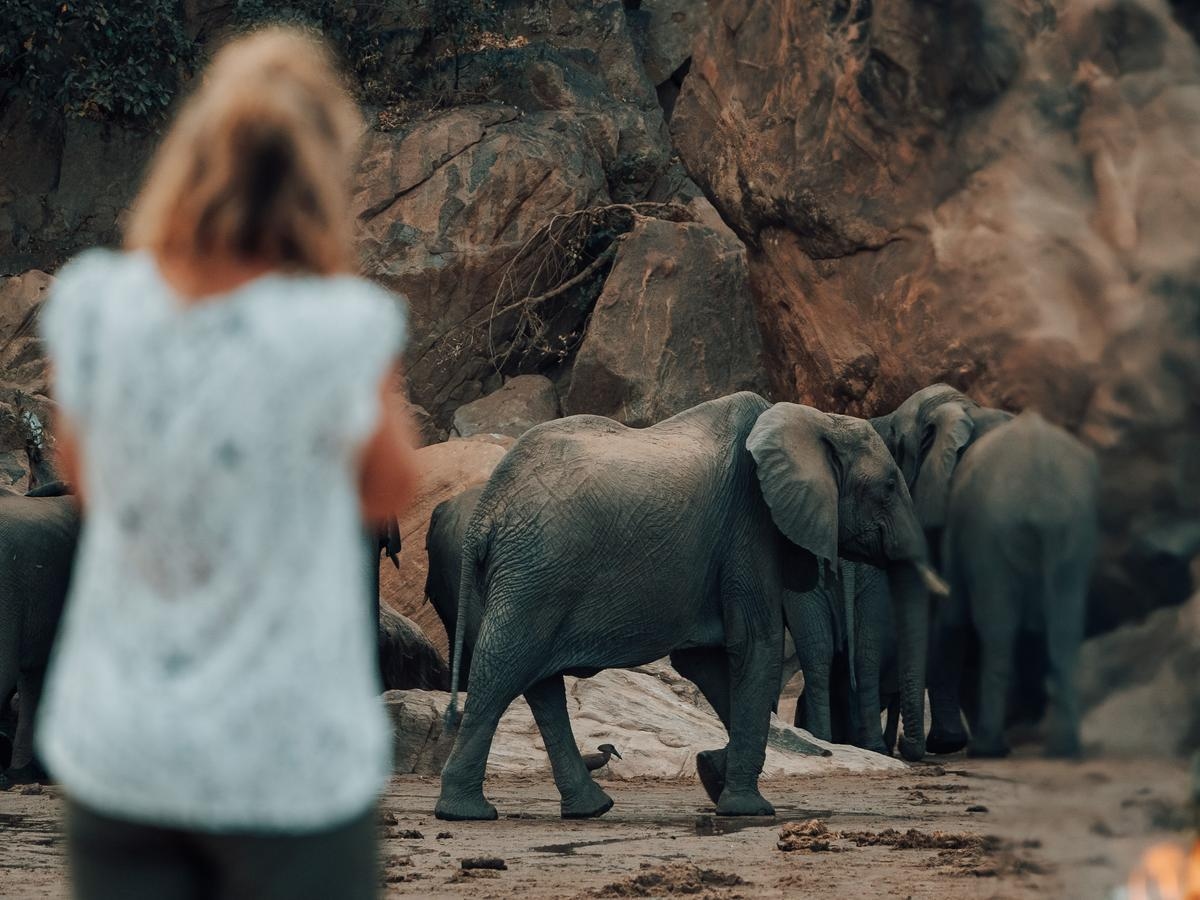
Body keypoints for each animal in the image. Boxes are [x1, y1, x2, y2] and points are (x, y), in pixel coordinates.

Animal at [871, 385, 1100, 758]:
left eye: (894, 445)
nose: (902, 744)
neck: (967, 409)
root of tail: (1043, 492)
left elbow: (948, 615)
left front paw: (945, 743)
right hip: (1074, 531)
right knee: (1065, 625)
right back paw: (1062, 746)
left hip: (993, 528)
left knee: (997, 626)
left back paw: (988, 746)